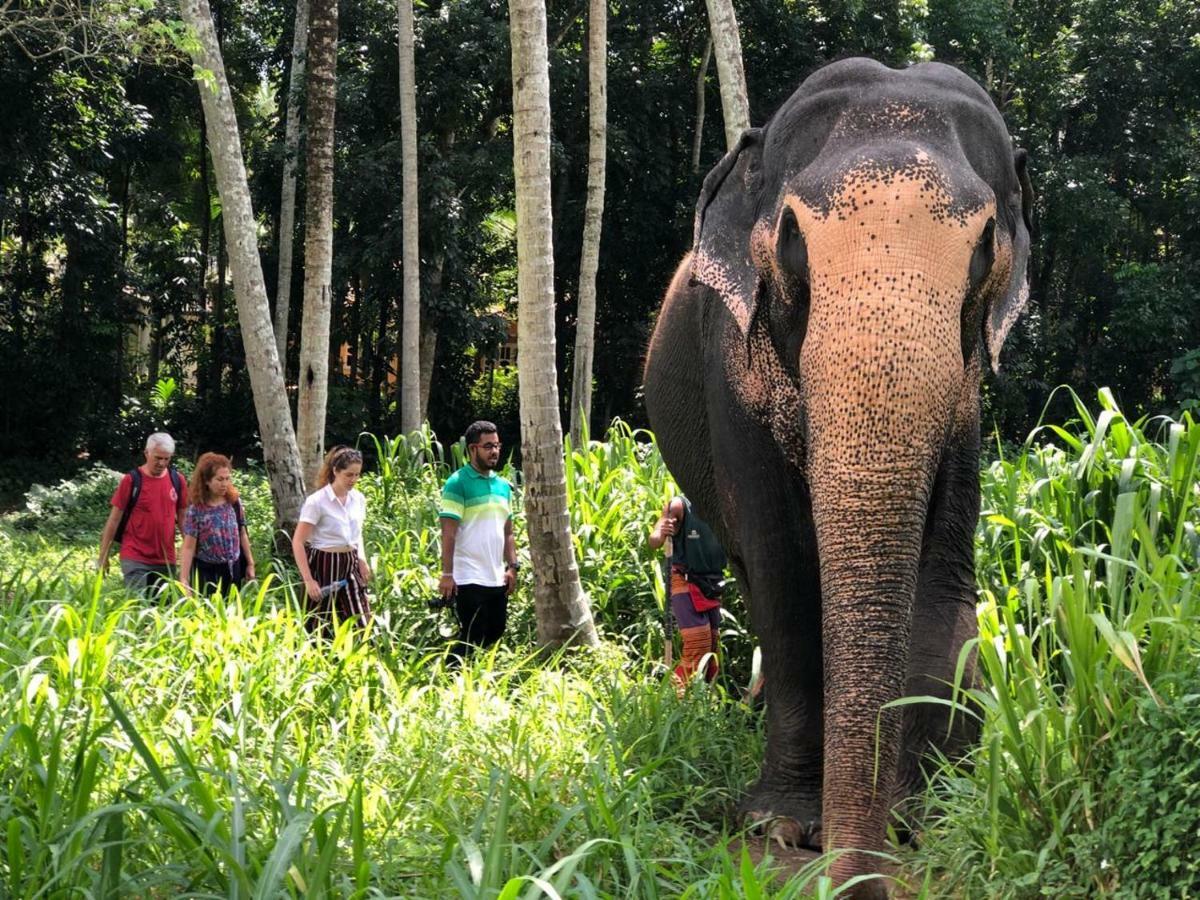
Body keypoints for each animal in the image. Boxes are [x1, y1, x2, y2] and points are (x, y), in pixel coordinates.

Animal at [648, 56, 1032, 897]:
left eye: (984, 245)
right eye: (792, 240)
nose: (858, 877)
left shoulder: (964, 398)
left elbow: (941, 567)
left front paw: (921, 817)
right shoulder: (731, 367)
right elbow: (785, 573)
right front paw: (780, 826)